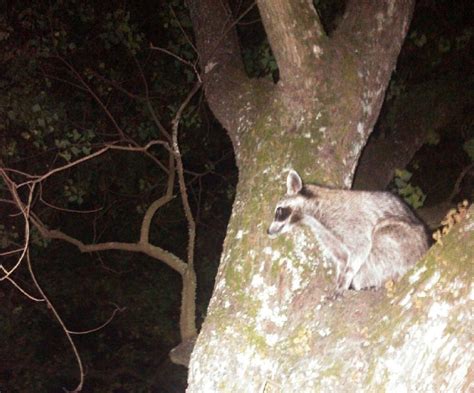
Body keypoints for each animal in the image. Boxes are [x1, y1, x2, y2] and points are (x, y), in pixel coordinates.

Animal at [266, 170, 430, 296]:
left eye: (278, 211)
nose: (268, 231)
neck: (310, 217)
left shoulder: (348, 220)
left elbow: (361, 246)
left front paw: (345, 280)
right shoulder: (325, 233)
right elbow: (341, 258)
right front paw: (339, 279)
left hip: (405, 240)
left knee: (380, 237)